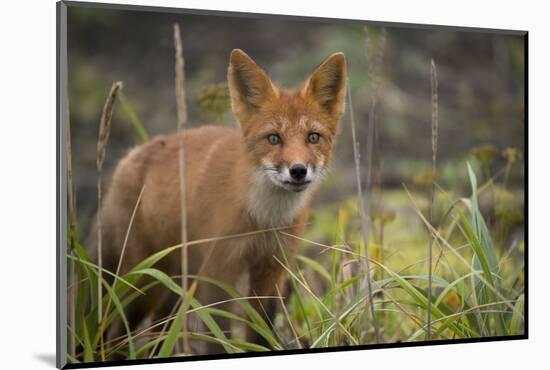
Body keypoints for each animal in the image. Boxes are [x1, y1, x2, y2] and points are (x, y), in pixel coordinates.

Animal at [92, 47, 348, 354]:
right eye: (274, 138)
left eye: (313, 137)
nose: (298, 170)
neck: (262, 219)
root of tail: (128, 158)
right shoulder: (218, 271)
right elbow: (218, 337)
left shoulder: (272, 270)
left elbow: (260, 334)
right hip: (145, 282)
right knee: (114, 335)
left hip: (171, 289)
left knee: (154, 335)